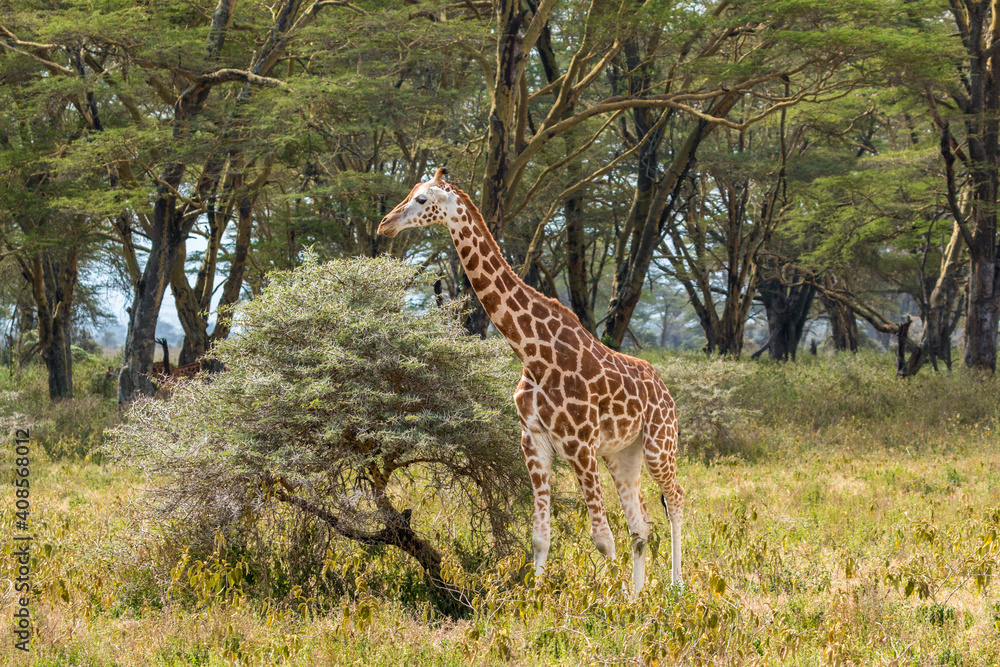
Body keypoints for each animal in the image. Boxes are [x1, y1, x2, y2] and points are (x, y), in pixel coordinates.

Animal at [378, 167, 684, 592]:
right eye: (409, 193)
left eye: (422, 199)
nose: (385, 225)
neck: (533, 355)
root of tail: (666, 392)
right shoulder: (534, 441)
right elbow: (541, 537)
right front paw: (536, 598)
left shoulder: (579, 445)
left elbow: (602, 538)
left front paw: (610, 601)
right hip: (623, 454)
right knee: (641, 525)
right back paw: (641, 597)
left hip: (659, 445)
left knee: (676, 500)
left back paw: (675, 589)